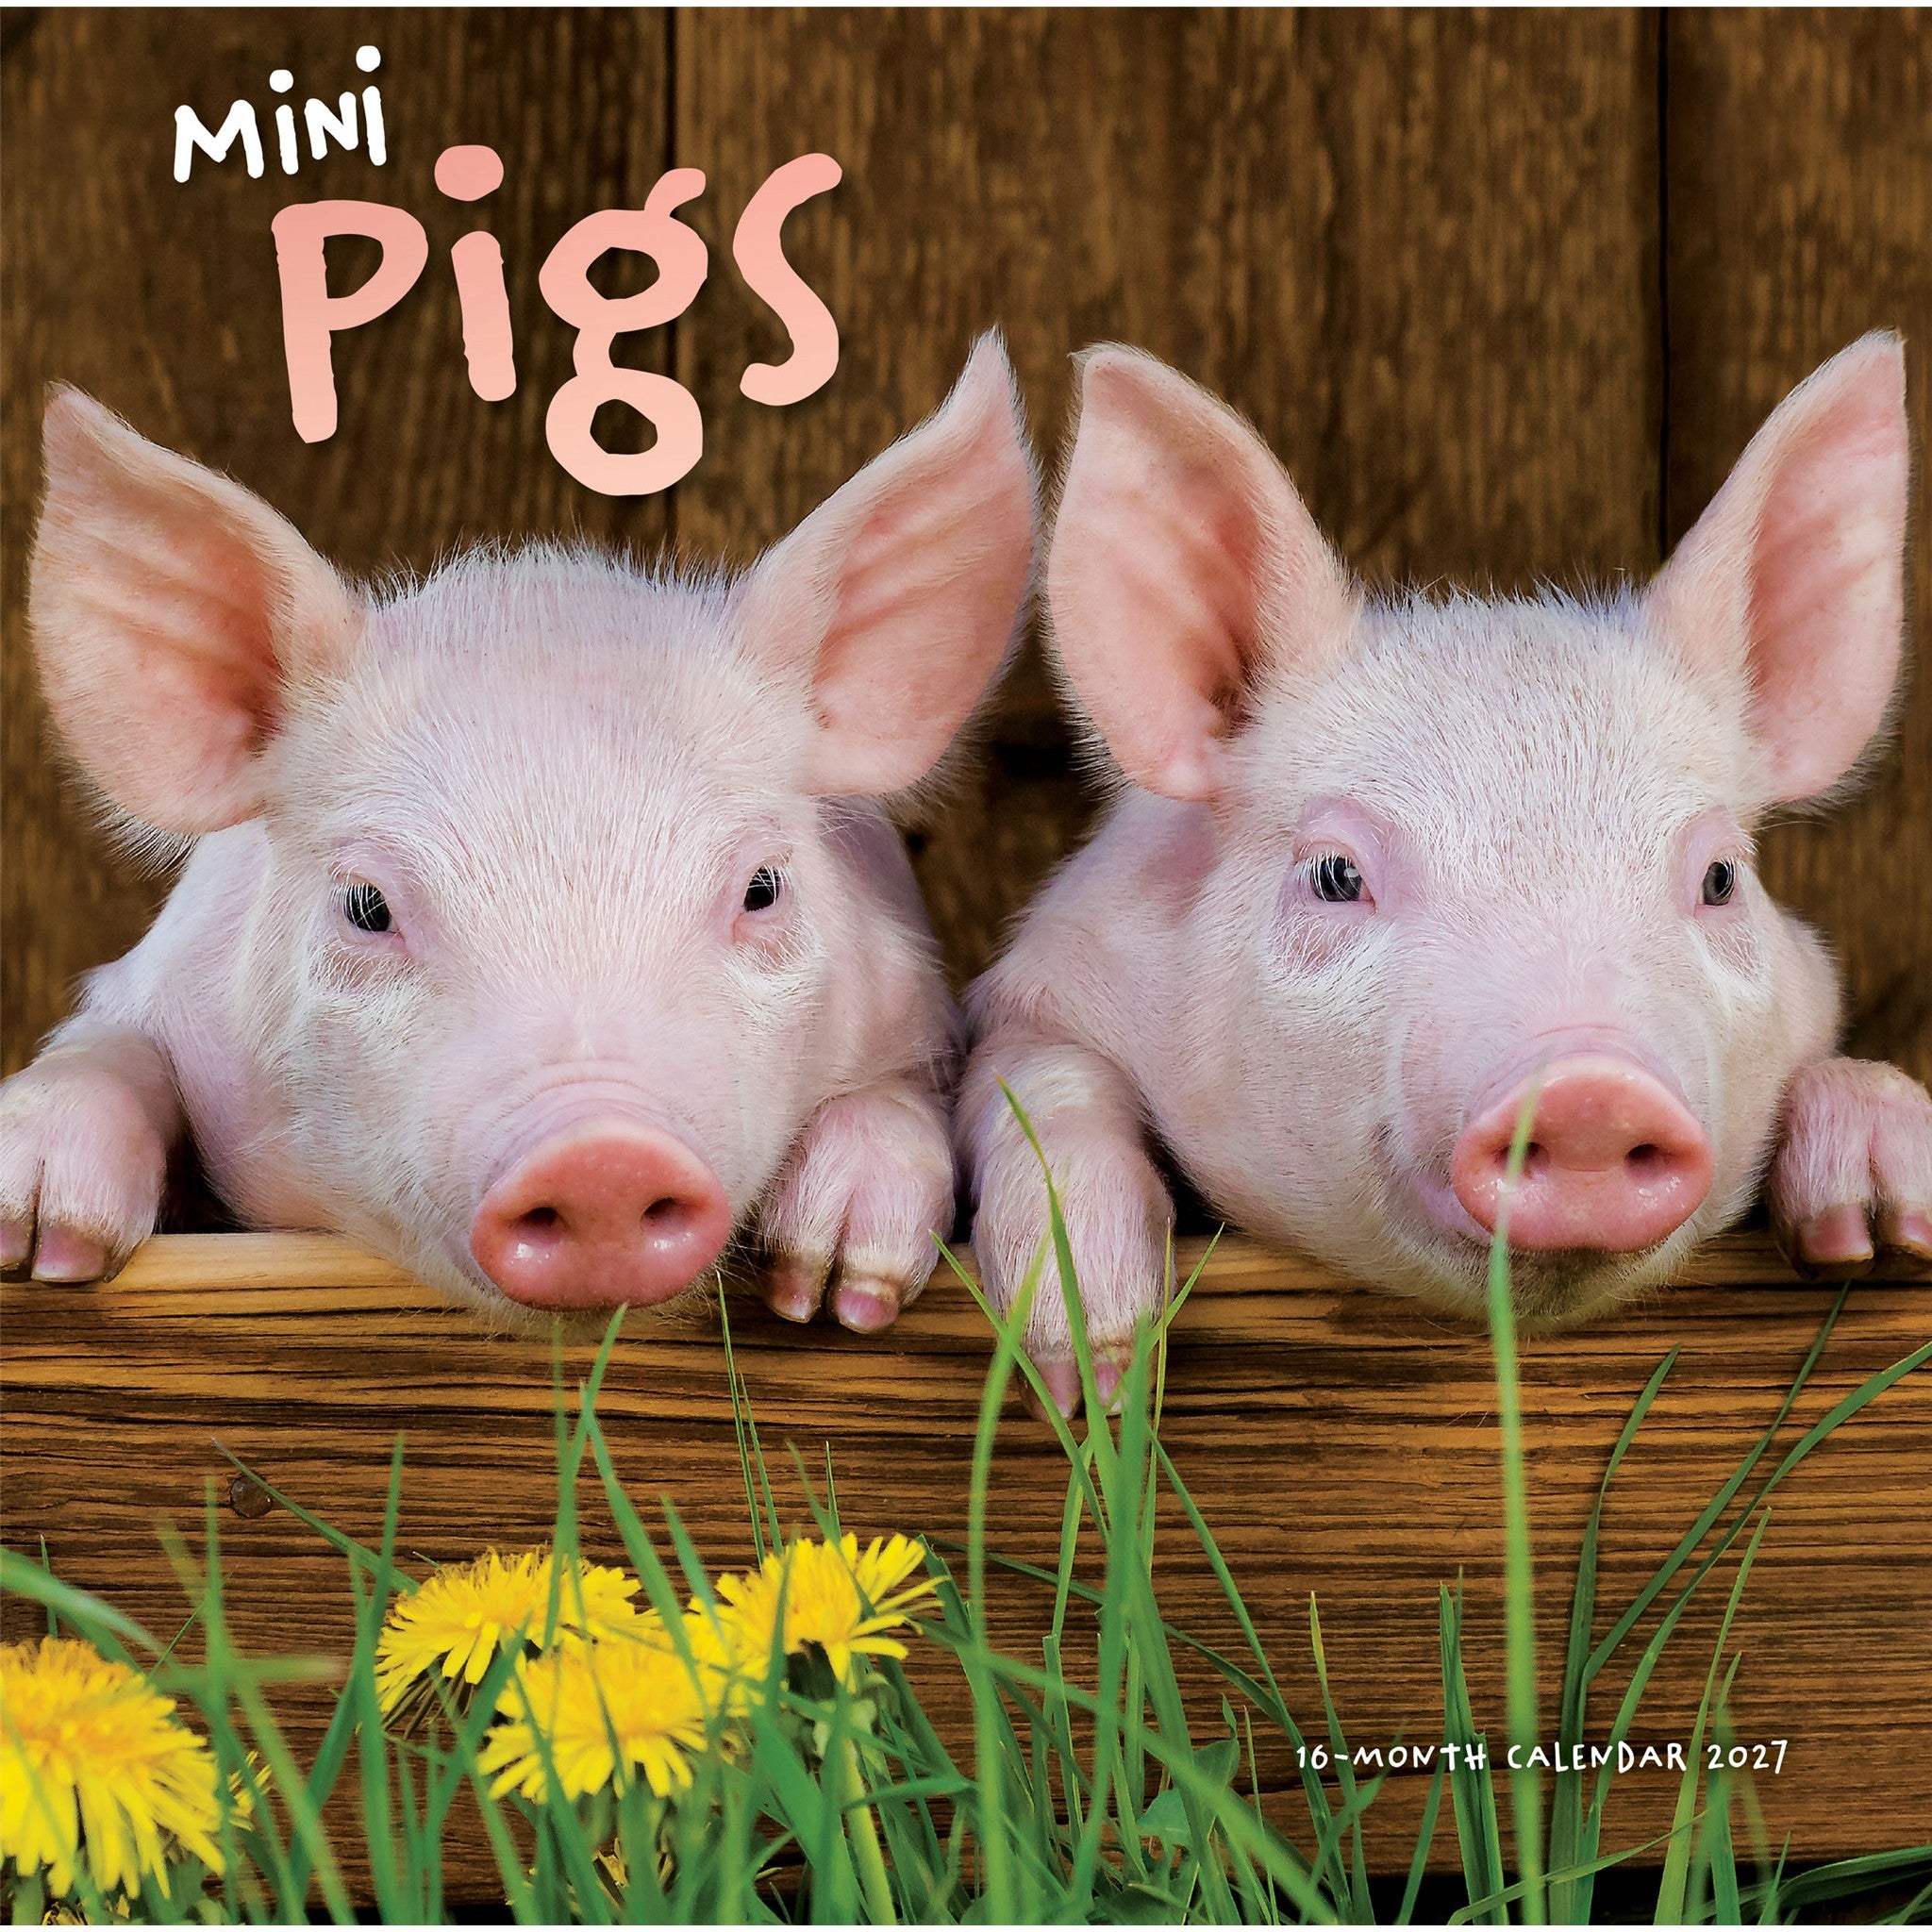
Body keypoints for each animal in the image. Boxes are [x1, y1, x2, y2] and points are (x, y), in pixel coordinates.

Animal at [0, 335, 1038, 1331]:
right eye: (366, 905)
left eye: (761, 887)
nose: (602, 1159)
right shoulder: (152, 987)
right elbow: (105, 1050)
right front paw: (41, 1244)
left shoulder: (916, 1011)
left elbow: (899, 1097)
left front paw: (834, 1291)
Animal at [961, 334, 1932, 1412]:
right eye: (1335, 874)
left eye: (1720, 877)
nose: (1589, 1089)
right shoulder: (1037, 989)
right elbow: (1038, 1082)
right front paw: (1090, 1373)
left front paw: (1875, 1228)